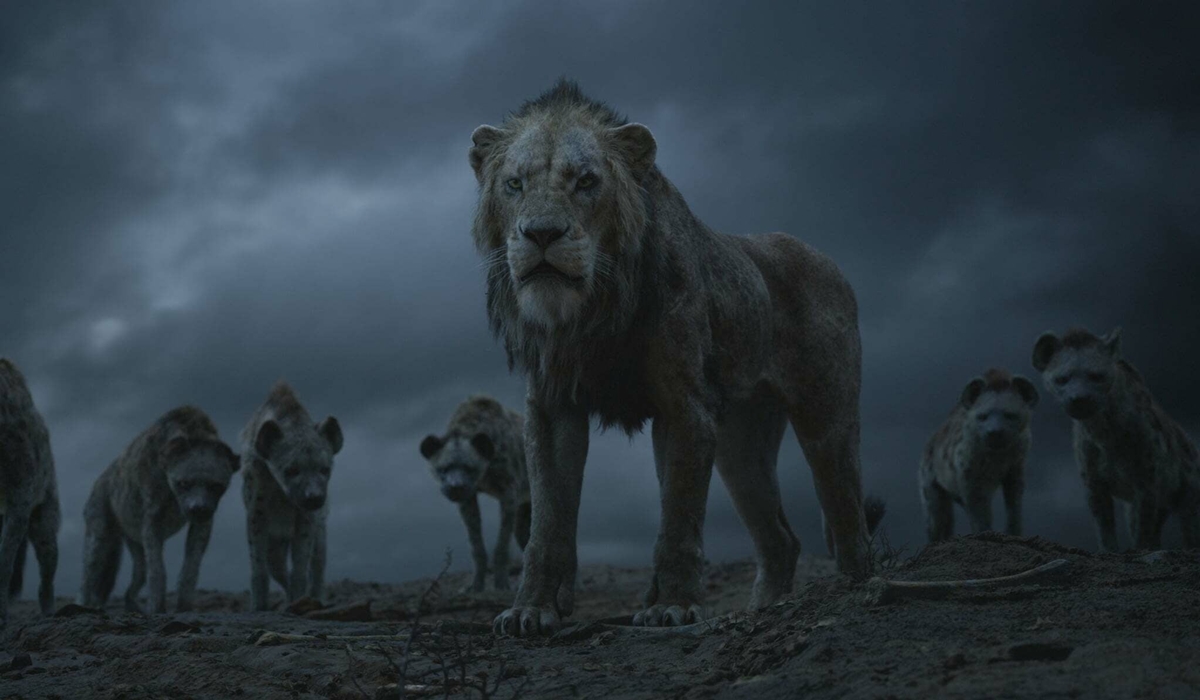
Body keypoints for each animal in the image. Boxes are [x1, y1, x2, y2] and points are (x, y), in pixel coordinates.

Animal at [469, 80, 874, 636]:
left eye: (586, 181)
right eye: (514, 183)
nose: (542, 234)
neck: (592, 310)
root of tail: (830, 262)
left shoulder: (684, 405)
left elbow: (679, 515)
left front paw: (674, 607)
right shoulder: (551, 408)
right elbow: (547, 521)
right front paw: (532, 608)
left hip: (825, 417)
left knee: (845, 508)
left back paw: (855, 588)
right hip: (740, 446)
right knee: (781, 540)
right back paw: (763, 609)